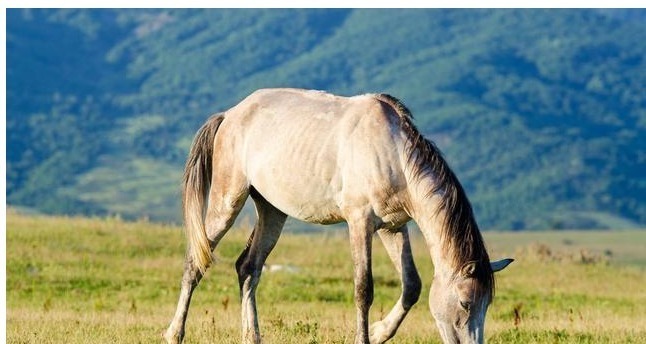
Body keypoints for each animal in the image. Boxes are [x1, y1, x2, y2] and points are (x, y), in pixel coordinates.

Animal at [163, 87, 516, 342]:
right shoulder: (360, 223)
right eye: (466, 303)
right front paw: (365, 337)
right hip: (227, 201)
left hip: (272, 210)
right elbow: (363, 289)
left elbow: (412, 285)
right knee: (195, 261)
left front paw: (379, 331)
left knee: (248, 267)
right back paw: (174, 333)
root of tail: (230, 115)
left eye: (487, 304)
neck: (394, 154)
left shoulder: (392, 227)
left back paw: (252, 337)